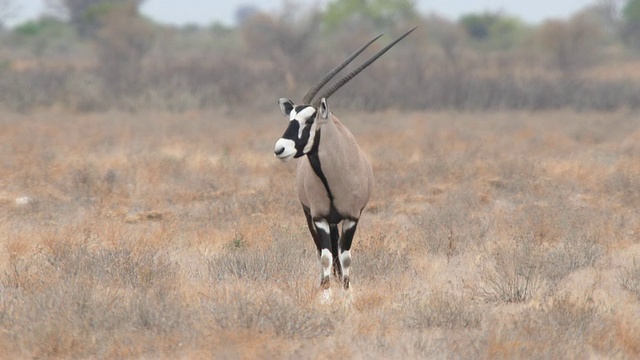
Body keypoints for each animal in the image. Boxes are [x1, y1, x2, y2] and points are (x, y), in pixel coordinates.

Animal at [272, 28, 416, 298]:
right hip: (312, 216)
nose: (280, 148)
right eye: (292, 117)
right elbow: (326, 256)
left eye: (310, 119)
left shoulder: (352, 217)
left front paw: (347, 292)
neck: (333, 174)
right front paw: (326, 294)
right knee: (323, 251)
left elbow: (345, 256)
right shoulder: (318, 217)